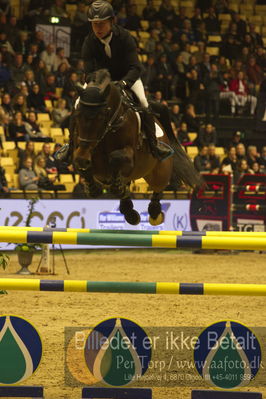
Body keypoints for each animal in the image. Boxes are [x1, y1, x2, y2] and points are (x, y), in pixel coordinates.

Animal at [71, 69, 201, 225]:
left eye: (101, 116)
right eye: (77, 115)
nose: (84, 157)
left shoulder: (129, 156)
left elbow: (115, 157)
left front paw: (115, 186)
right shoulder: (82, 152)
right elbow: (81, 164)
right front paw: (93, 188)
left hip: (159, 173)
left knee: (159, 187)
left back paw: (154, 212)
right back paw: (129, 211)